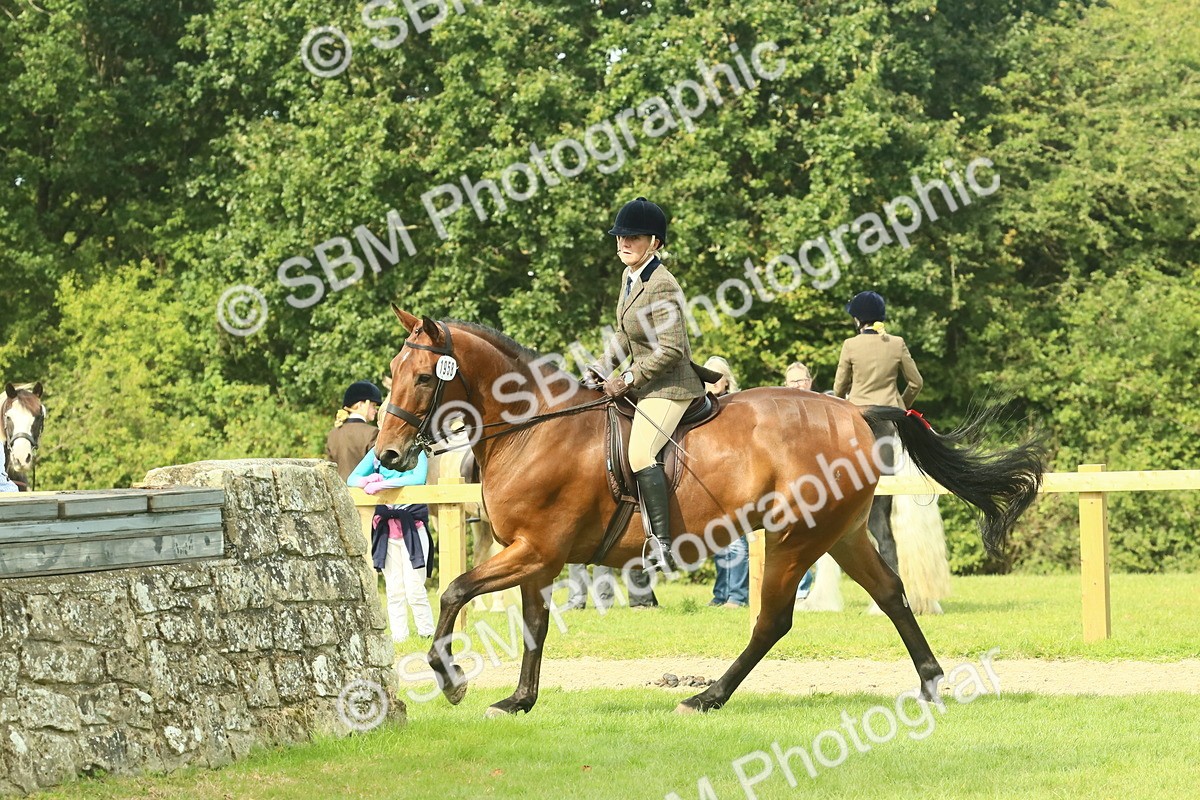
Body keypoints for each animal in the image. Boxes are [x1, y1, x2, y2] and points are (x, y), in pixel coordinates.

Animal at [375, 310, 1045, 716]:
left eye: (421, 377)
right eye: (391, 373)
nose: (387, 454)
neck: (535, 427)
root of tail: (856, 413)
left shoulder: (535, 550)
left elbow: (455, 590)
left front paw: (452, 679)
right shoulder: (534, 557)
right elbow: (533, 625)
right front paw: (517, 700)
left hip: (794, 539)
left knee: (773, 621)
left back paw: (708, 697)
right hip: (842, 534)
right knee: (891, 594)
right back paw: (931, 683)